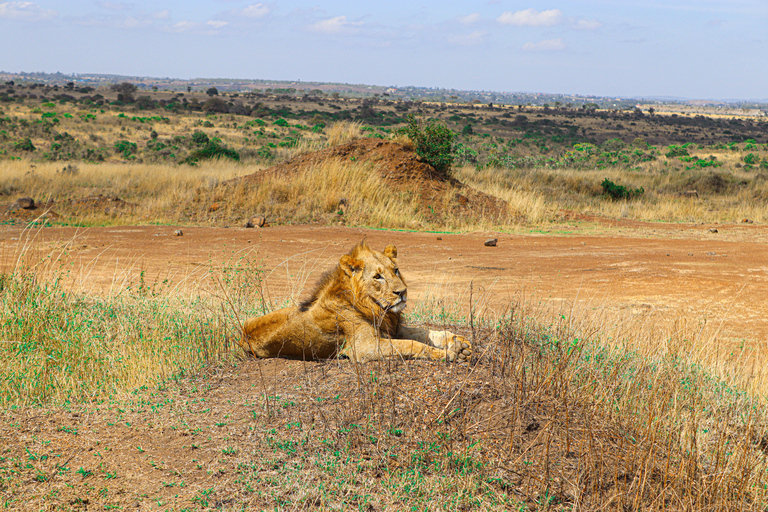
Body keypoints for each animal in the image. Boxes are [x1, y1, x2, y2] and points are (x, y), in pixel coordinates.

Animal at [240, 241, 472, 364]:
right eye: (378, 277)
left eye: (395, 270)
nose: (403, 292)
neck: (376, 308)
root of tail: (242, 333)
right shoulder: (362, 347)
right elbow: (412, 344)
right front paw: (446, 353)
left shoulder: (393, 329)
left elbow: (426, 333)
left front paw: (459, 342)